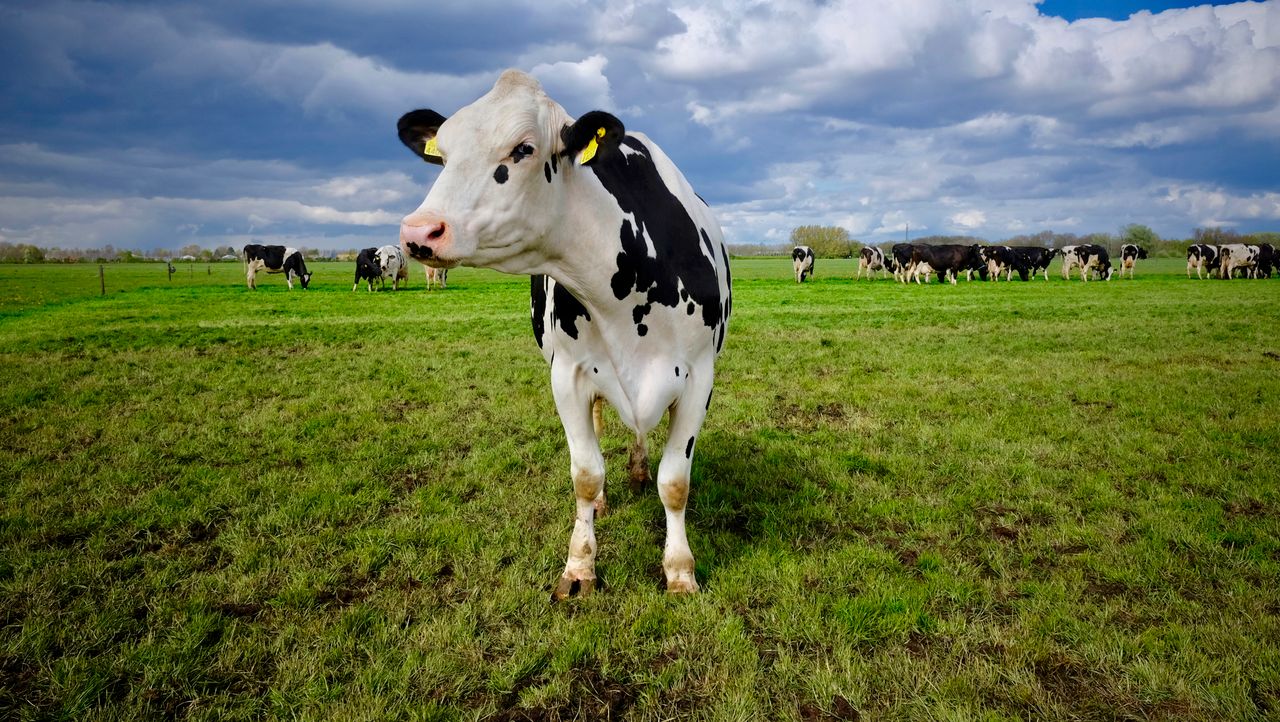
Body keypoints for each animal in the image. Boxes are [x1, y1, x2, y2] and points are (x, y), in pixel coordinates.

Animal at [396, 70, 732, 598]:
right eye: (443, 154)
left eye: (523, 149)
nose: (419, 232)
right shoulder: (568, 376)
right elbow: (586, 475)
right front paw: (579, 568)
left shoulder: (699, 377)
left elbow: (675, 481)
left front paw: (680, 571)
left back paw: (638, 470)